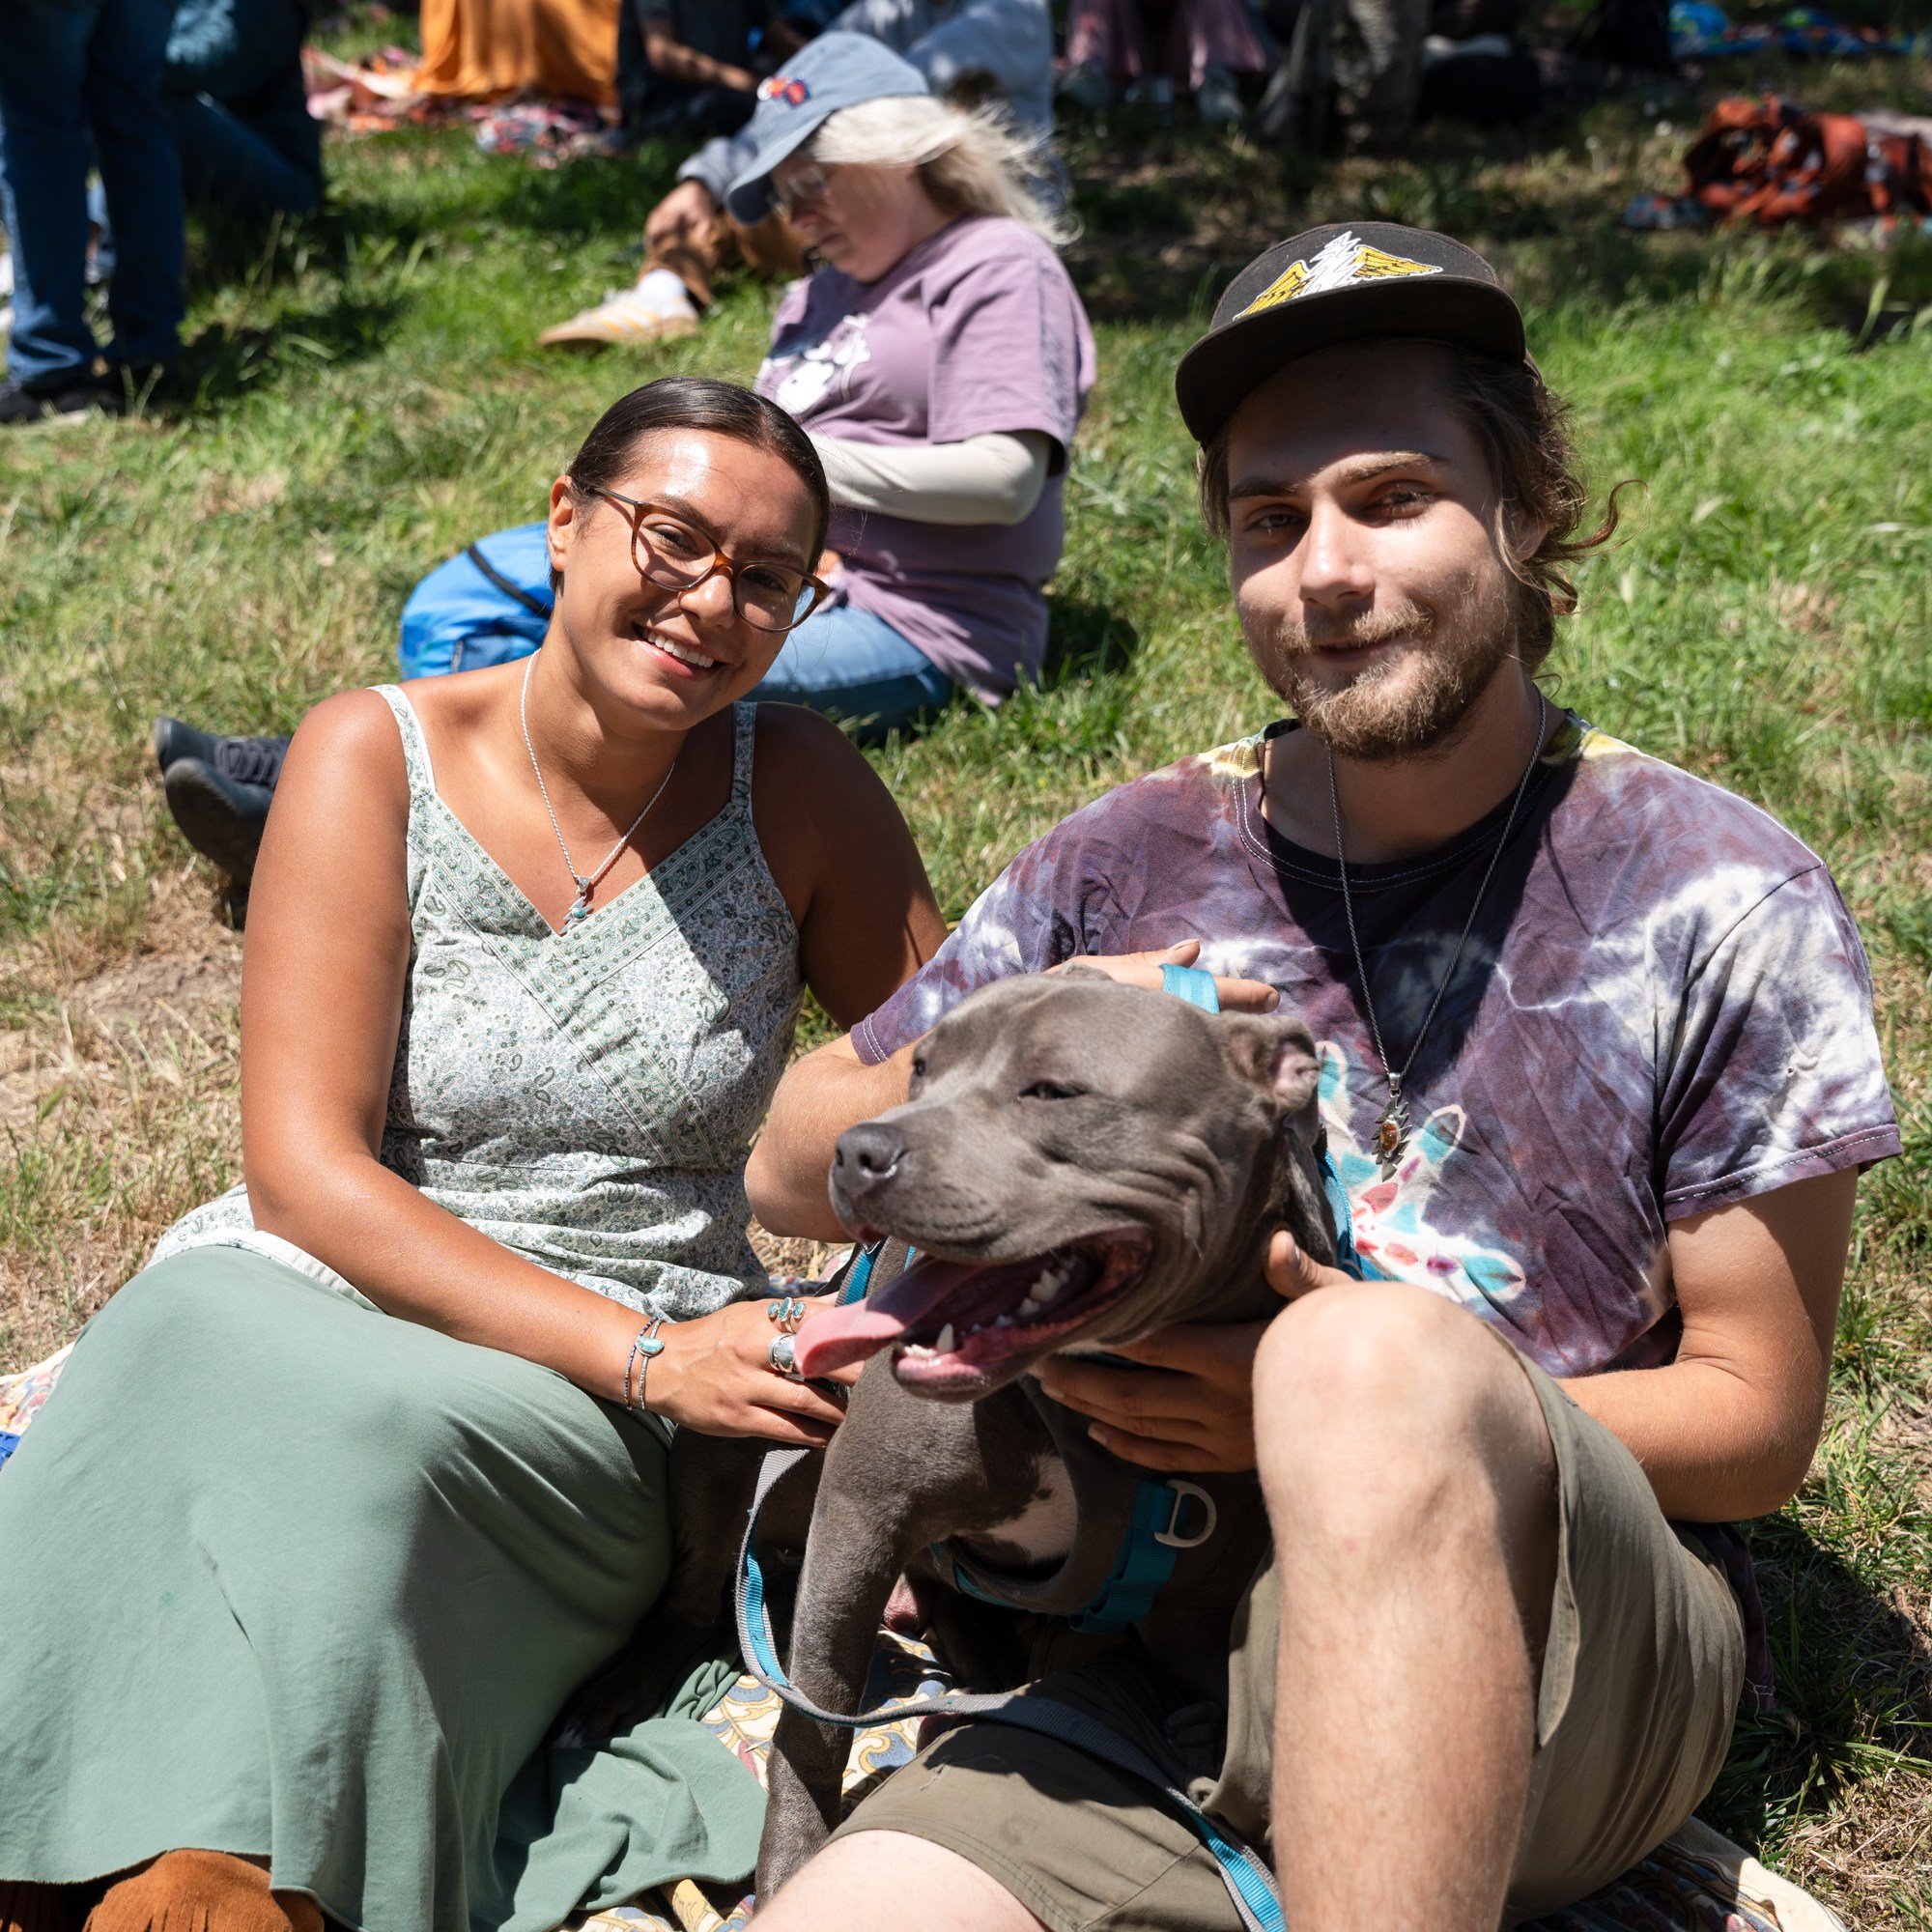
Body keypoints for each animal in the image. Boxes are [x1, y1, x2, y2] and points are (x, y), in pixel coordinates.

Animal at [564, 974, 1345, 1893]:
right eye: (920, 1070)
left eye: (1053, 1090)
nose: (855, 1151)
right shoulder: (860, 1512)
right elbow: (815, 1718)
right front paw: (790, 1863)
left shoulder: (1202, 1582)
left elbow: (1212, 1682)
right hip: (723, 1451)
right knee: (700, 1593)